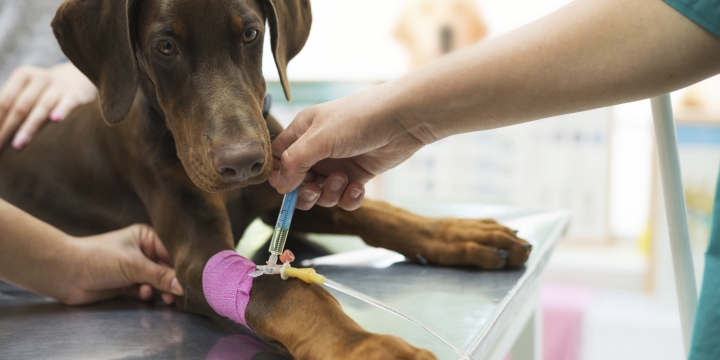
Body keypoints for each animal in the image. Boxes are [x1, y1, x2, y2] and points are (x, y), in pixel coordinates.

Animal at [0, 0, 528, 358]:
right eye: (164, 46)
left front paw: (461, 233)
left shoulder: (282, 190)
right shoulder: (196, 255)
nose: (242, 164)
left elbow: (376, 213)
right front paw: (367, 346)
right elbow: (284, 288)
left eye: (251, 33)